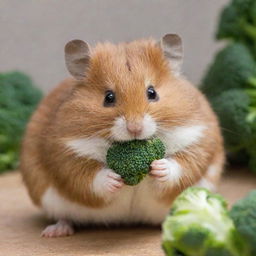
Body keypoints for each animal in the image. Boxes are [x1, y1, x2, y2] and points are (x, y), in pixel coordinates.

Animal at [20, 34, 224, 238]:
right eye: (108, 97)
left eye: (152, 92)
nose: (135, 128)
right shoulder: (64, 154)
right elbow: (89, 177)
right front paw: (114, 179)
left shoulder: (198, 139)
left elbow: (181, 166)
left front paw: (159, 167)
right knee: (64, 217)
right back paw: (54, 232)